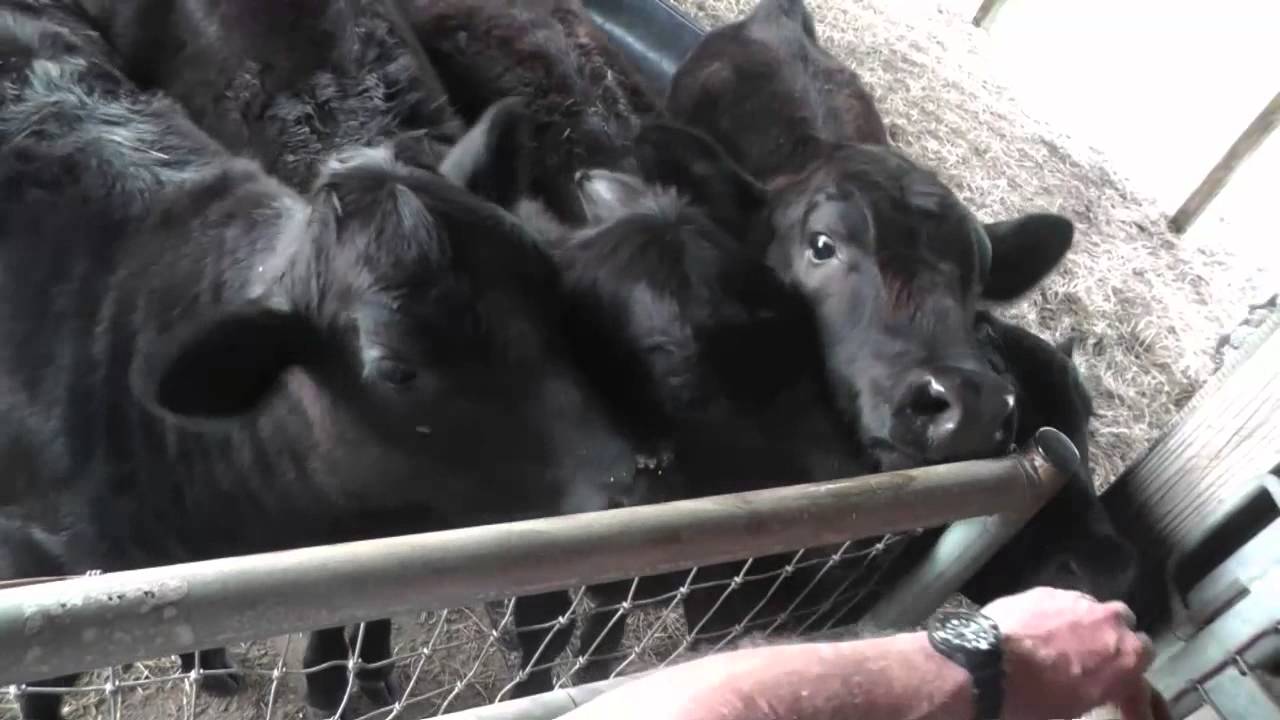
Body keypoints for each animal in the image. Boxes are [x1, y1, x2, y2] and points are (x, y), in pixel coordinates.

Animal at [0, 4, 637, 719]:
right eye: (395, 368)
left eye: (543, 278)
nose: (624, 482)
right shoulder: (41, 579)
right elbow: (39, 683)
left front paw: (354, 676)